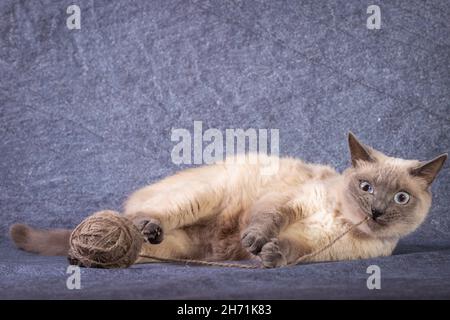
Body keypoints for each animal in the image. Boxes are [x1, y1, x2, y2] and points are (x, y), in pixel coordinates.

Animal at [10, 132, 446, 268]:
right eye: (367, 187)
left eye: (401, 198)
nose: (376, 211)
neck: (338, 218)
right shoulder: (286, 201)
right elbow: (268, 220)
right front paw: (255, 243)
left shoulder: (317, 248)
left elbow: (289, 247)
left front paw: (268, 257)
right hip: (199, 197)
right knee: (139, 217)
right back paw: (135, 230)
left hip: (179, 248)